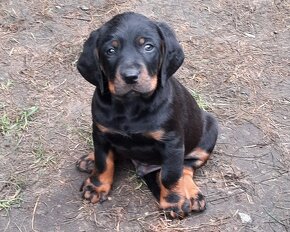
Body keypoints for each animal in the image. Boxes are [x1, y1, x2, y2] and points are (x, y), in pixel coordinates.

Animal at [77, 11, 218, 218]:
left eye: (148, 47)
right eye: (110, 50)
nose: (130, 76)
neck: (131, 105)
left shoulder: (172, 143)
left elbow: (170, 175)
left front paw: (174, 202)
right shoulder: (101, 132)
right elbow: (104, 162)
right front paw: (96, 186)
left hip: (210, 129)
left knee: (186, 166)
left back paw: (192, 195)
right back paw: (90, 159)